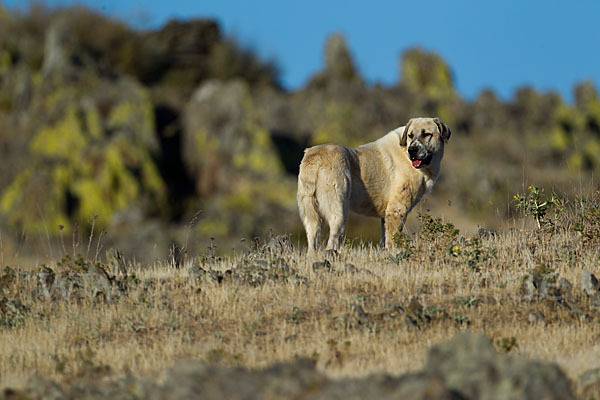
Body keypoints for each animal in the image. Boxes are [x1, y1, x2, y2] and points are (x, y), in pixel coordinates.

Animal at [296, 116, 450, 253]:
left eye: (426, 134)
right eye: (410, 136)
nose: (412, 150)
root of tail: (316, 156)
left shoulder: (386, 216)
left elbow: (384, 238)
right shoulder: (397, 209)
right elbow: (393, 239)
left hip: (311, 215)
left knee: (312, 242)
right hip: (338, 211)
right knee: (331, 242)